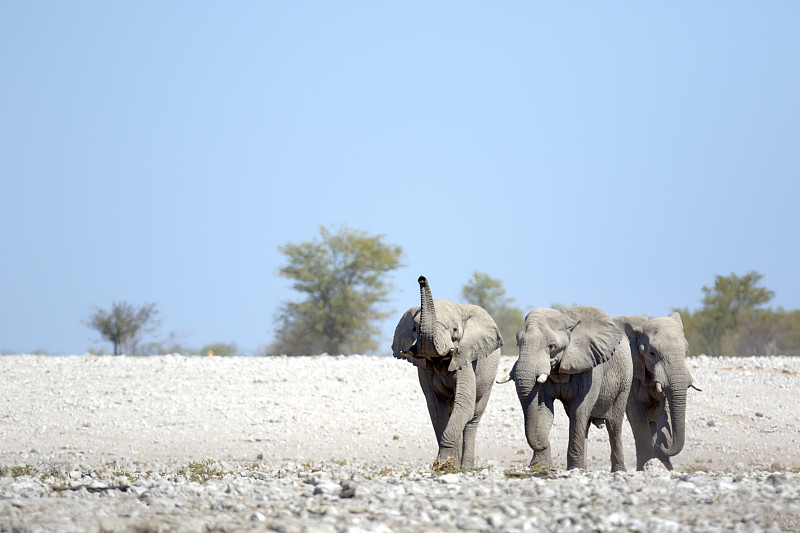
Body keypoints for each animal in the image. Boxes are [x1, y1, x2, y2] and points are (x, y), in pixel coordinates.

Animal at [392, 276, 500, 468]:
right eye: (414, 329)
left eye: (455, 330)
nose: (421, 278)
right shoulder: (424, 370)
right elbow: (436, 408)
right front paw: (446, 464)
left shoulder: (466, 357)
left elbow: (464, 404)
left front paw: (444, 464)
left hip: (489, 377)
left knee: (472, 419)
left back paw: (466, 467)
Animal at [504, 306, 636, 472]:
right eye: (518, 344)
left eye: (551, 346)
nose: (544, 443)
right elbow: (543, 409)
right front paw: (540, 467)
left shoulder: (592, 366)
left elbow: (579, 410)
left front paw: (573, 468)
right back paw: (584, 468)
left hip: (625, 381)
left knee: (614, 426)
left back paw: (617, 471)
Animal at [612, 312, 700, 470]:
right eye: (652, 353)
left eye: (686, 351)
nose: (663, 446)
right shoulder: (632, 372)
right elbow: (636, 415)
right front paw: (644, 467)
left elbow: (665, 409)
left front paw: (665, 466)